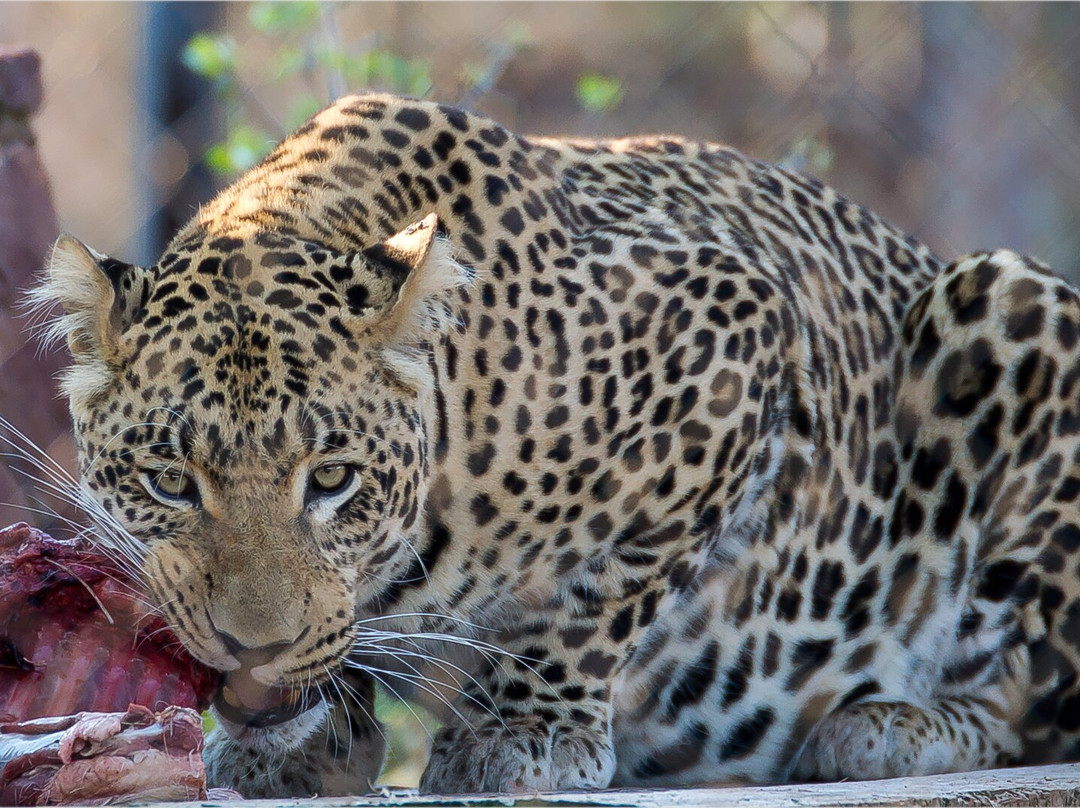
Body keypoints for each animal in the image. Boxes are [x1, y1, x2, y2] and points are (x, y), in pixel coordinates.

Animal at [30, 92, 1080, 797]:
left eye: (330, 479)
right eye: (171, 482)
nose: (257, 646)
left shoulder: (736, 332)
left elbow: (601, 600)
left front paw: (524, 729)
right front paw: (293, 743)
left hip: (1013, 302)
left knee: (1023, 689)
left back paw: (897, 723)